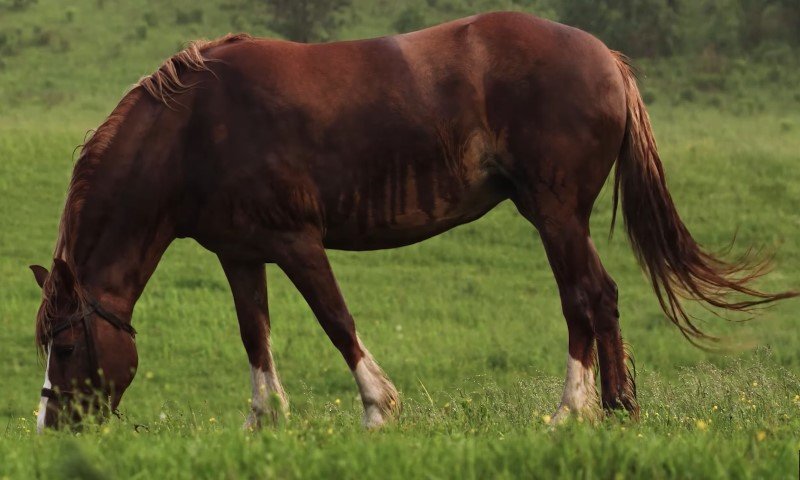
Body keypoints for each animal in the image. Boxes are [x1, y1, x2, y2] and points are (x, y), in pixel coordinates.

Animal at [31, 11, 797, 431]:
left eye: (63, 348)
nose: (51, 429)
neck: (195, 127)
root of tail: (605, 57)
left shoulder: (297, 242)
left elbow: (335, 320)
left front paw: (378, 408)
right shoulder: (240, 254)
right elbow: (256, 337)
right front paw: (266, 423)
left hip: (554, 213)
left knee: (584, 299)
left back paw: (571, 412)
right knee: (598, 299)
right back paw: (614, 410)